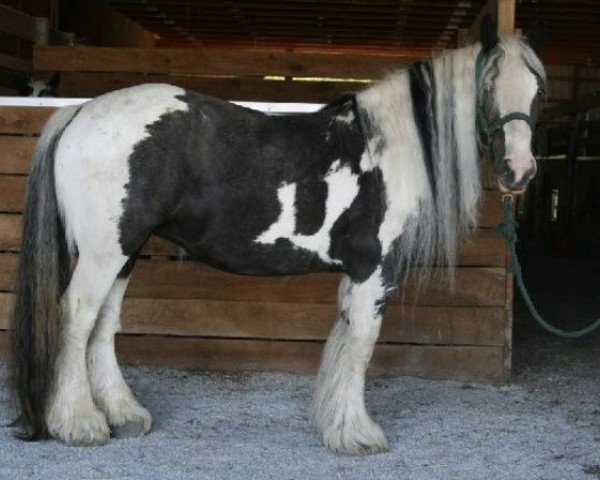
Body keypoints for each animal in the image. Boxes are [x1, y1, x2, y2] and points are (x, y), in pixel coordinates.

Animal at [9, 17, 548, 454]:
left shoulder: (357, 274)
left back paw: (123, 415)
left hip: (126, 250)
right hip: (106, 251)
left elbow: (344, 343)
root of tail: (82, 111)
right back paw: (79, 423)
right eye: (488, 84)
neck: (387, 151)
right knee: (78, 316)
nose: (519, 171)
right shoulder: (375, 270)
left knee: (103, 324)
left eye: (539, 90)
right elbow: (362, 345)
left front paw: (337, 426)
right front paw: (358, 434)